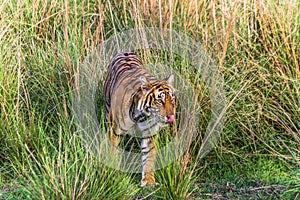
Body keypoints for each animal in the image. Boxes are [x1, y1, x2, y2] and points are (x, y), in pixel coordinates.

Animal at [103, 52, 176, 188]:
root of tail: (125, 52)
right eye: (160, 100)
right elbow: (112, 152)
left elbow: (149, 156)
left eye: (172, 99)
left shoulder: (150, 134)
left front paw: (148, 181)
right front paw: (113, 173)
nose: (171, 116)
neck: (141, 116)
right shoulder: (114, 131)